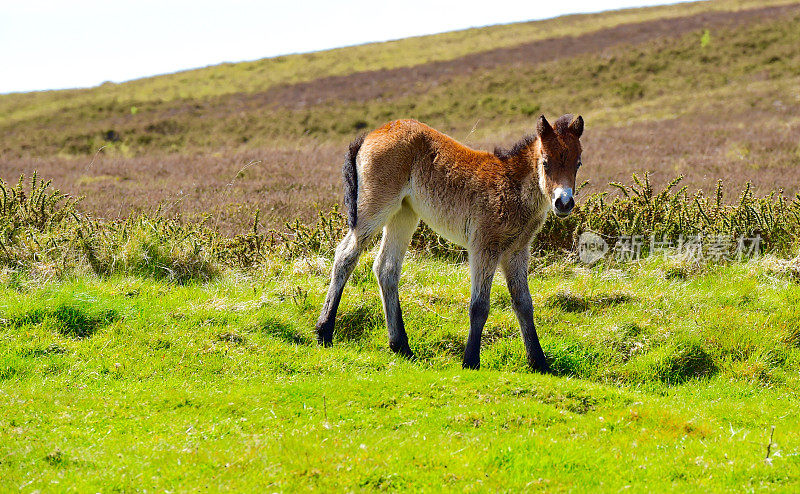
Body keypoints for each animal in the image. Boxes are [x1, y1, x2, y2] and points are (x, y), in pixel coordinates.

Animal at [316, 116, 584, 370]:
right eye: (545, 162)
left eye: (578, 163)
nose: (563, 203)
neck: (512, 186)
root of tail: (372, 134)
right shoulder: (483, 247)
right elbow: (480, 305)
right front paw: (471, 361)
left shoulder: (517, 251)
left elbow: (524, 303)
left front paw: (539, 362)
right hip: (375, 208)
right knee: (346, 255)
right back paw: (324, 332)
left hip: (404, 214)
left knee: (386, 269)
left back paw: (401, 346)